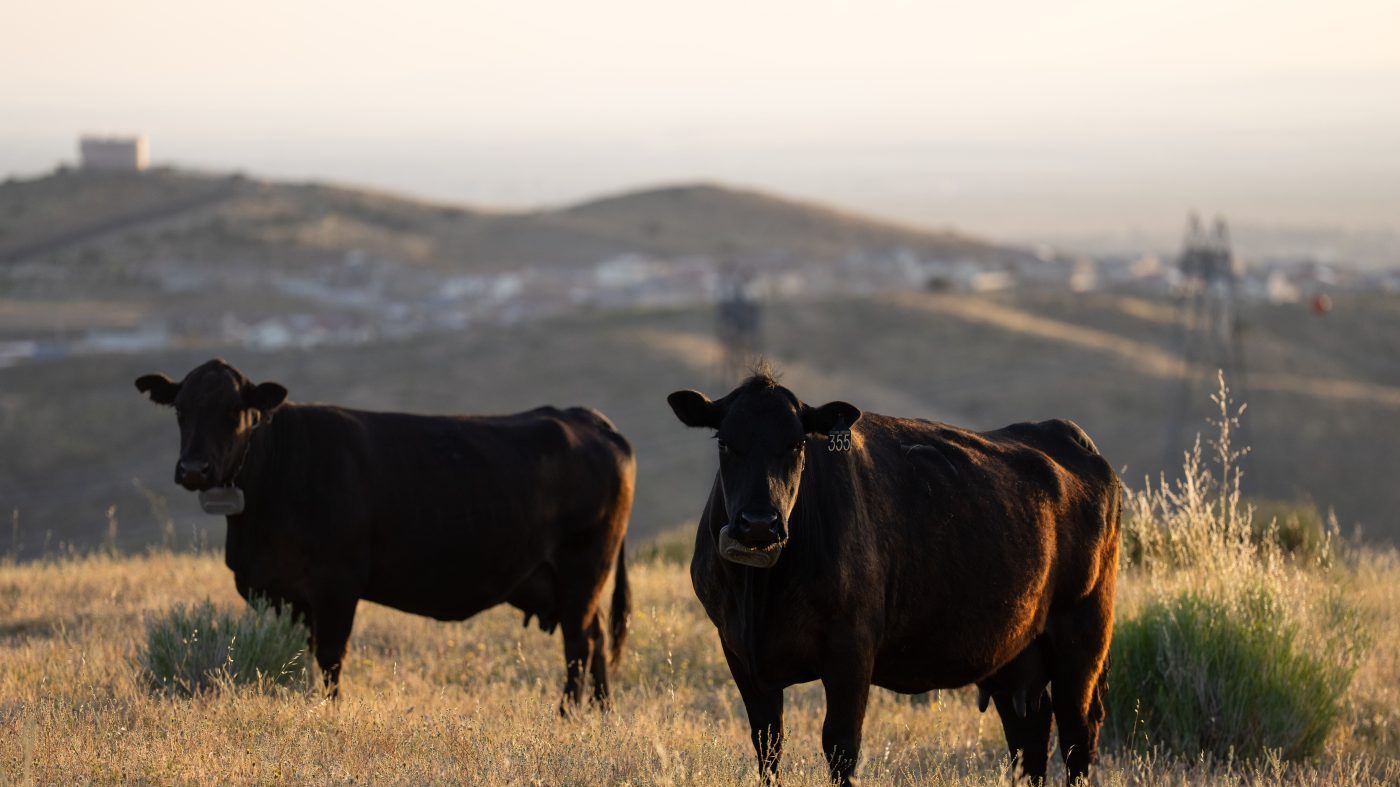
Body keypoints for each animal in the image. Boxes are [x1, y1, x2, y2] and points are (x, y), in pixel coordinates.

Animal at [135, 358, 633, 708]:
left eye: (235, 411)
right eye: (180, 410)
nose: (194, 469)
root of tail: (588, 418)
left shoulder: (336, 584)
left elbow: (330, 658)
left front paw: (330, 712)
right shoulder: (283, 593)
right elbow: (297, 655)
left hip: (583, 569)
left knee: (580, 643)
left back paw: (567, 715)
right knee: (596, 637)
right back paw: (601, 713)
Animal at [668, 370, 1120, 786]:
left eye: (797, 444)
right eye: (725, 443)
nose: (759, 524)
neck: (761, 595)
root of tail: (1068, 433)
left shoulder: (851, 647)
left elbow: (840, 746)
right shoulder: (739, 650)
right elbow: (768, 745)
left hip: (1083, 635)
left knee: (1077, 734)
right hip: (1017, 654)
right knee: (1030, 737)